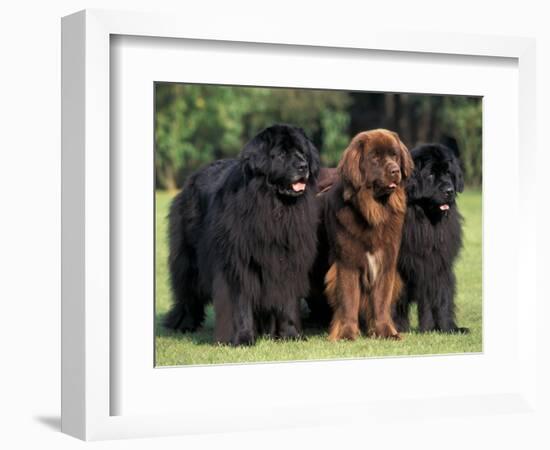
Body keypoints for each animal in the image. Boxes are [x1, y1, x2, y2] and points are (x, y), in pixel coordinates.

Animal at [164, 123, 322, 344]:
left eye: (302, 152)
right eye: (282, 154)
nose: (303, 166)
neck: (274, 207)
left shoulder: (289, 260)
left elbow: (288, 301)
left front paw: (291, 335)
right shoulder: (237, 263)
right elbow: (240, 303)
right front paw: (242, 338)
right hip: (189, 259)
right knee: (187, 292)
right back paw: (184, 324)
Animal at [310, 128, 414, 340]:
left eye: (394, 155)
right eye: (375, 157)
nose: (395, 171)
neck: (373, 212)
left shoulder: (385, 262)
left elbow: (381, 301)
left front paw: (385, 332)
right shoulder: (347, 263)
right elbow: (349, 299)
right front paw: (347, 333)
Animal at [396, 142, 470, 332]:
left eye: (448, 173)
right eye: (430, 174)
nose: (449, 190)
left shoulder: (438, 264)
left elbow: (441, 297)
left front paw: (445, 328)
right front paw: (395, 327)